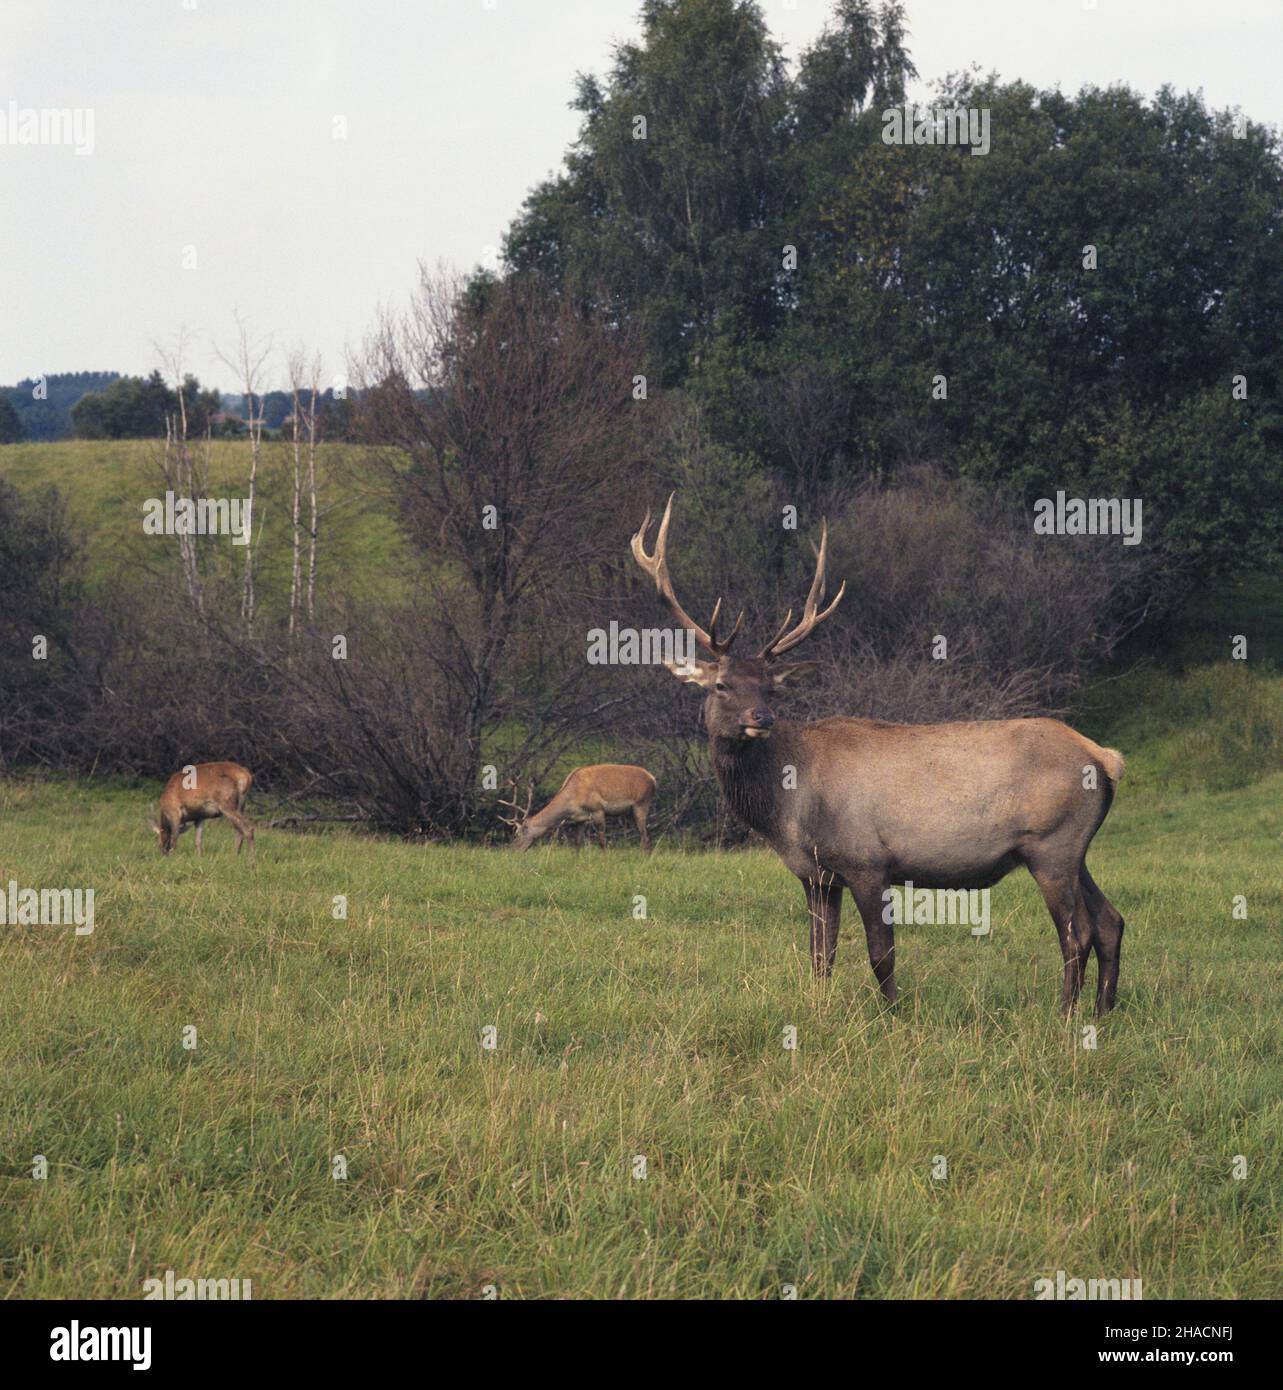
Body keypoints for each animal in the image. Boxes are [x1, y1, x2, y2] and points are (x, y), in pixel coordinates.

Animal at [497, 767, 656, 850]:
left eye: (517, 834)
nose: (512, 850)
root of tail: (653, 778)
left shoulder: (598, 810)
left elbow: (602, 841)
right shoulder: (579, 818)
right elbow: (578, 842)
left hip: (642, 804)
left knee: (646, 838)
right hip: (630, 812)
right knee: (643, 836)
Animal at [631, 497, 1123, 1011]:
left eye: (769, 686)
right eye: (722, 685)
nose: (761, 717)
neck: (787, 810)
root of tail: (1106, 758)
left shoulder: (867, 861)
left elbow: (880, 953)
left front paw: (892, 1013)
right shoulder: (817, 875)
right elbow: (820, 954)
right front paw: (820, 1007)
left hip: (1051, 845)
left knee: (1077, 932)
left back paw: (1065, 1013)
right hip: (1074, 849)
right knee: (1110, 921)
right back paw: (1103, 1009)